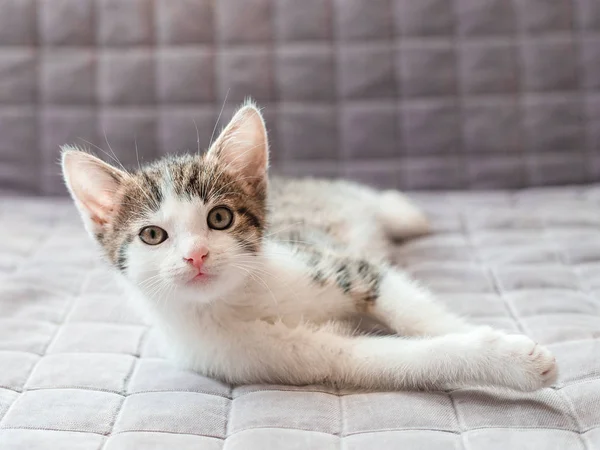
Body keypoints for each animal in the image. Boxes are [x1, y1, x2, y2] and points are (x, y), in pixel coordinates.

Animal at [61, 101, 556, 390]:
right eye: (152, 235)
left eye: (219, 218)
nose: (197, 255)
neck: (239, 298)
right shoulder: (264, 355)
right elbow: (391, 358)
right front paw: (509, 360)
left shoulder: (339, 264)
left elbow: (416, 311)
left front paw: (494, 339)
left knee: (364, 198)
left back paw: (404, 211)